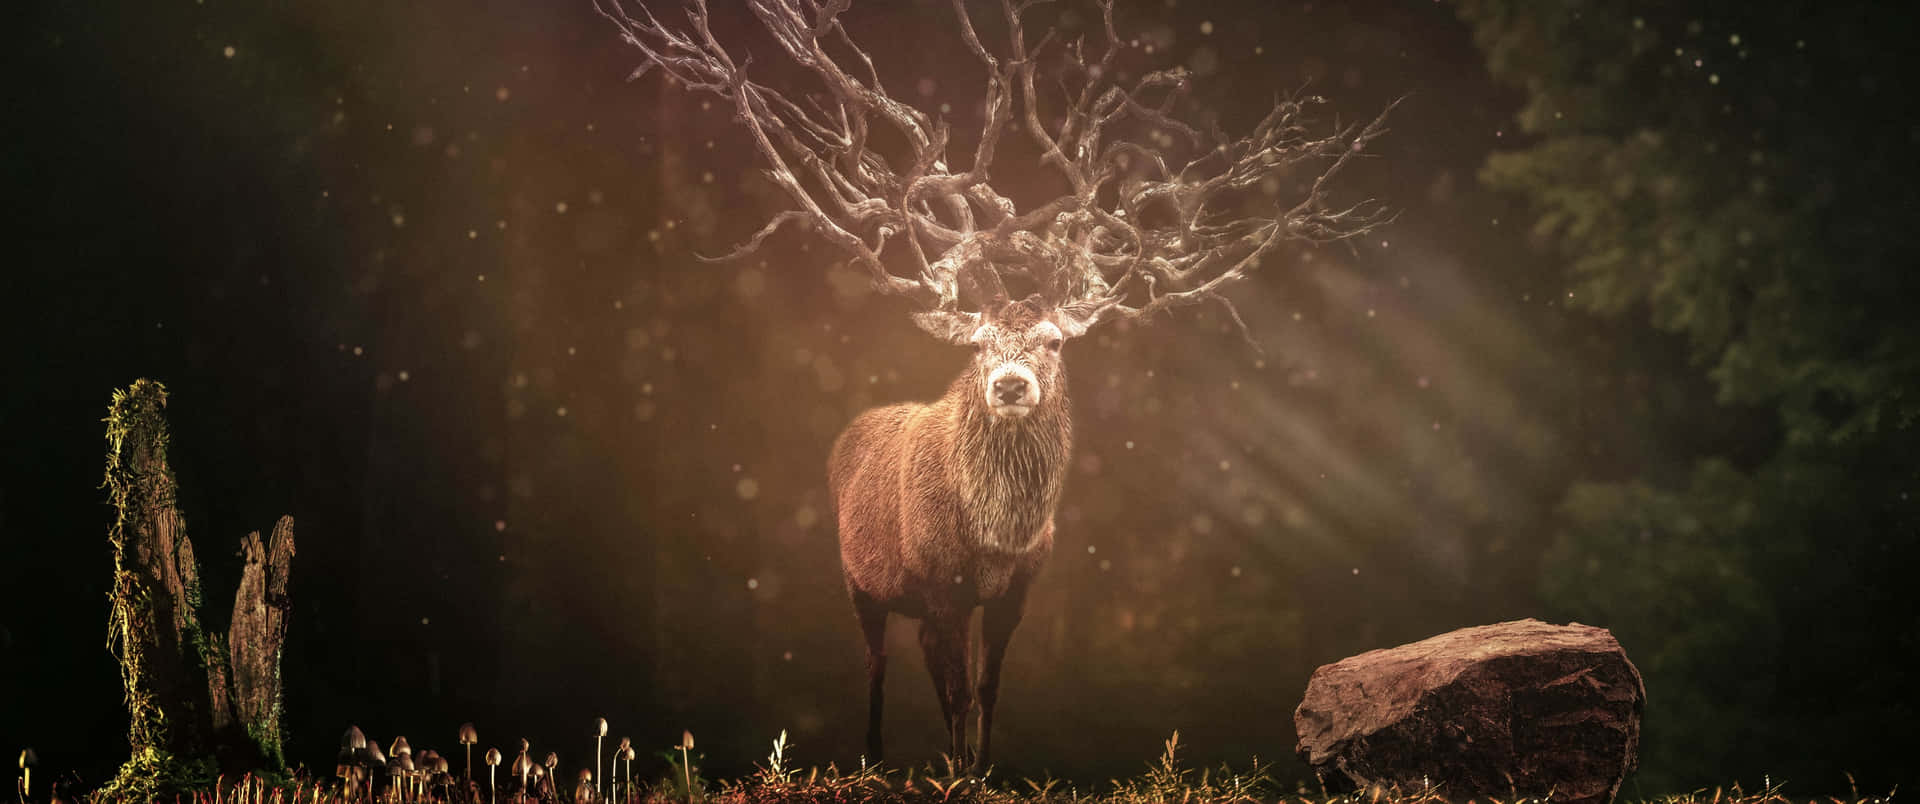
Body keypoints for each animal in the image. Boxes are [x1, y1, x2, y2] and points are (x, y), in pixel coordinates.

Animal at [594, 0, 1393, 774]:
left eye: (1055, 340)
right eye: (978, 344)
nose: (1010, 385)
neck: (995, 535)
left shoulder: (1014, 591)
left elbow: (985, 684)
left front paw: (980, 768)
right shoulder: (939, 584)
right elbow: (949, 686)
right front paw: (951, 773)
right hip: (859, 580)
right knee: (878, 662)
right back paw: (873, 760)